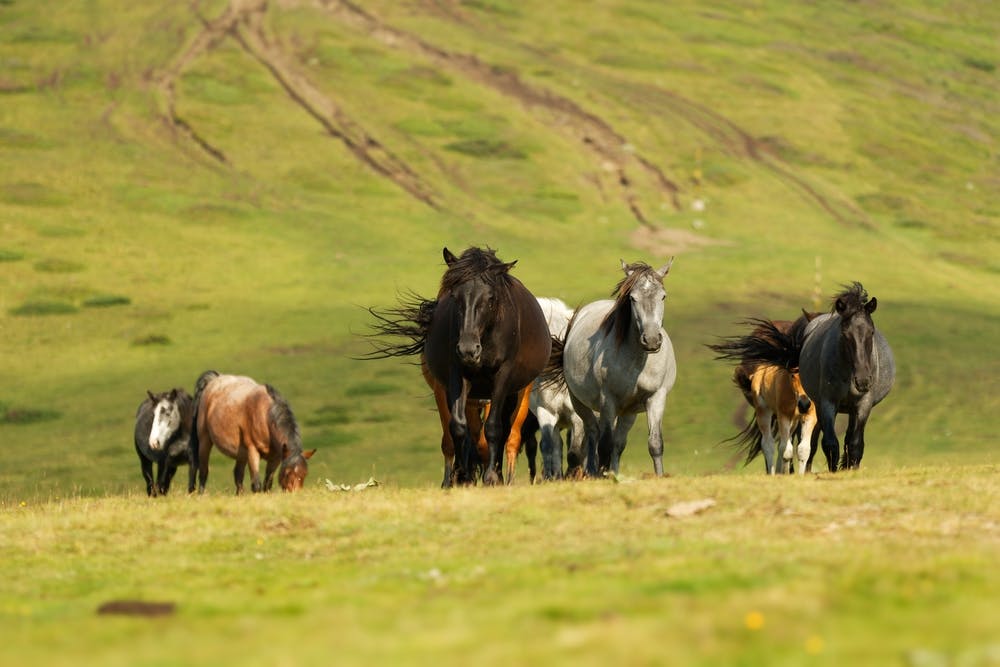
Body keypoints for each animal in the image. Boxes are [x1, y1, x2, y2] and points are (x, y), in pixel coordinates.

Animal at [548, 258, 680, 478]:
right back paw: (594, 472)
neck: (637, 362)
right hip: (580, 403)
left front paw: (660, 476)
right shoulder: (607, 401)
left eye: (663, 296)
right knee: (593, 433)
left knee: (618, 444)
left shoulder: (656, 398)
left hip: (629, 412)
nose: (652, 340)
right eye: (633, 298)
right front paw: (603, 476)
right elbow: (605, 445)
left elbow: (654, 443)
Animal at [708, 318, 816, 474]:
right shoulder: (783, 415)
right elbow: (786, 451)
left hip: (792, 421)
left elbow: (803, 450)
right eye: (792, 375)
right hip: (764, 412)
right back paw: (773, 473)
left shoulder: (810, 416)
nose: (804, 403)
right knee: (768, 444)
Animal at [800, 284, 896, 472]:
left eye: (871, 332)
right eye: (845, 334)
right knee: (814, 443)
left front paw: (852, 470)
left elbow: (855, 444)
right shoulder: (828, 403)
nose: (863, 380)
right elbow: (830, 444)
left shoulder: (863, 404)